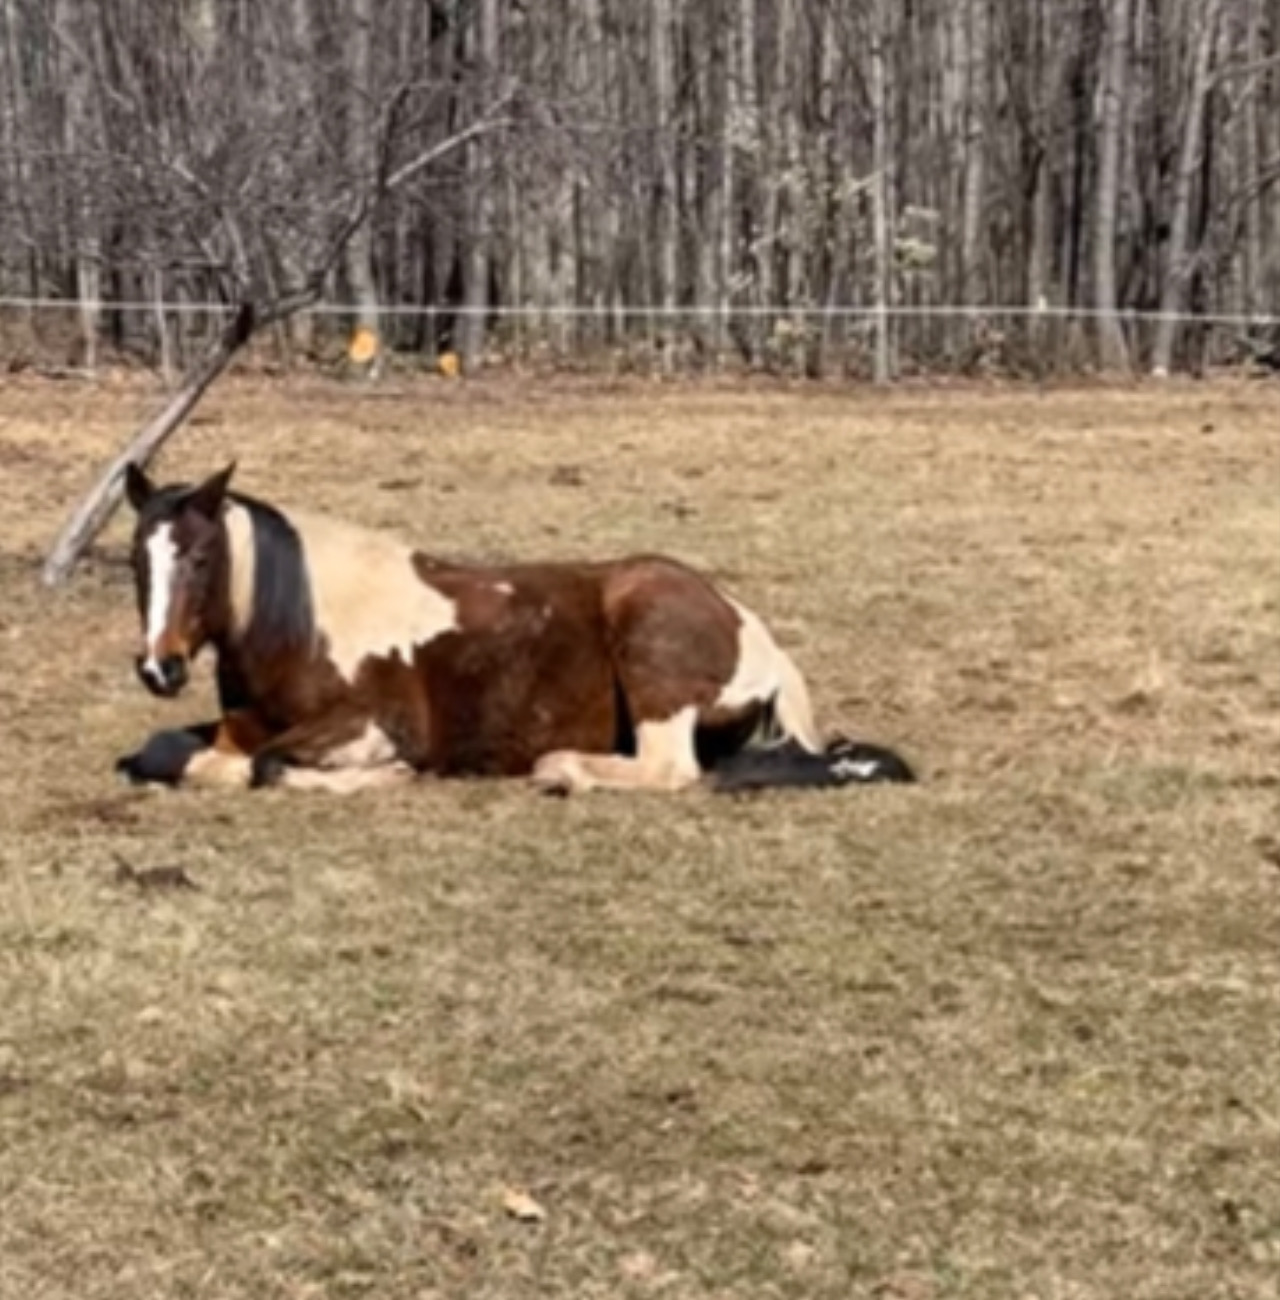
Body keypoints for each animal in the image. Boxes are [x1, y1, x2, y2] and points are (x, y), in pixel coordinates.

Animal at [115, 462, 914, 795]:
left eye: (202, 556)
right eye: (136, 557)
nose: (160, 669)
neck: (301, 622)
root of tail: (751, 629)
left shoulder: (370, 721)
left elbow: (269, 765)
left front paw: (389, 775)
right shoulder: (242, 723)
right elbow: (171, 752)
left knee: (669, 771)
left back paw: (563, 772)